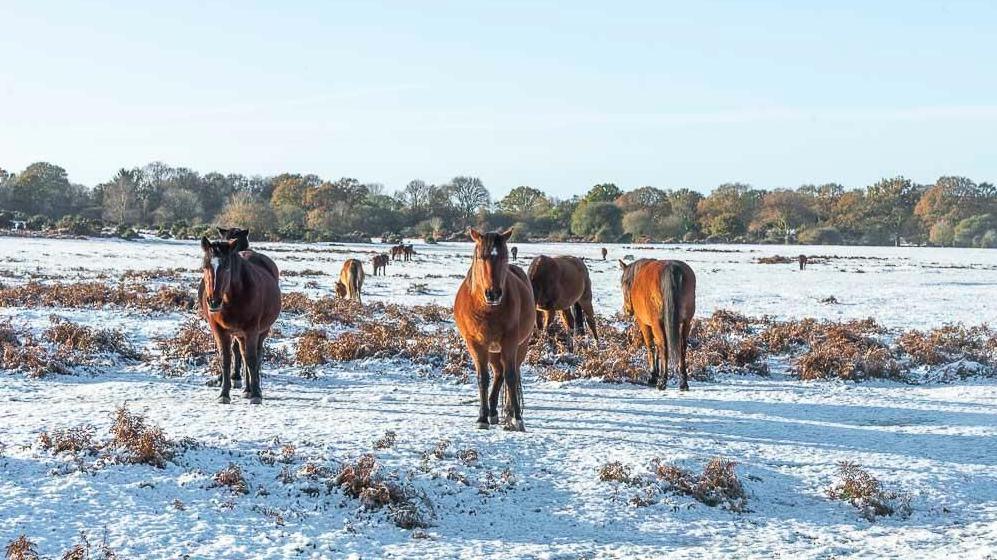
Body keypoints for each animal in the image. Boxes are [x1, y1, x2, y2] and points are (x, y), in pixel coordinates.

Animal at [199, 235, 280, 402]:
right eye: (205, 266)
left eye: (227, 267)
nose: (214, 302)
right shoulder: (220, 330)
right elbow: (226, 359)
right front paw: (224, 394)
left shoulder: (252, 330)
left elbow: (252, 359)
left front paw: (256, 395)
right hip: (240, 335)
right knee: (242, 354)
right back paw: (247, 389)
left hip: (261, 331)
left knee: (255, 356)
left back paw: (253, 389)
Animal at [454, 228, 532, 434]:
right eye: (482, 257)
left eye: (504, 256)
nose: (494, 293)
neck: (487, 309)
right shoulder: (476, 344)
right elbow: (483, 378)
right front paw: (482, 417)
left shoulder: (510, 342)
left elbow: (511, 377)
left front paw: (517, 418)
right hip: (492, 350)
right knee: (498, 373)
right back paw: (493, 412)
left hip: (519, 346)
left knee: (509, 372)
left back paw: (509, 413)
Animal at [620, 258, 696, 390]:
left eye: (623, 284)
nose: (627, 310)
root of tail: (671, 269)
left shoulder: (645, 324)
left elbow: (651, 346)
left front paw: (653, 375)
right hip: (685, 322)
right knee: (682, 347)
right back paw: (683, 382)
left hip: (657, 323)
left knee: (663, 346)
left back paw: (662, 381)